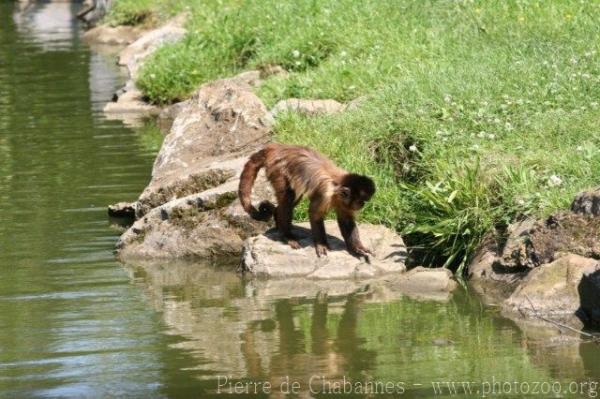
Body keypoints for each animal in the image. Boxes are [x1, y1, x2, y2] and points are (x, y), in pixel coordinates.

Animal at [239, 143, 376, 256]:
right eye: (360, 200)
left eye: (364, 201)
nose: (362, 205)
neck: (337, 187)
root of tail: (277, 147)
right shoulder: (325, 193)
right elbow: (314, 214)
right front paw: (321, 244)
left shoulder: (343, 202)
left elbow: (346, 220)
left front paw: (357, 247)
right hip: (278, 169)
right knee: (288, 198)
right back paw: (287, 236)